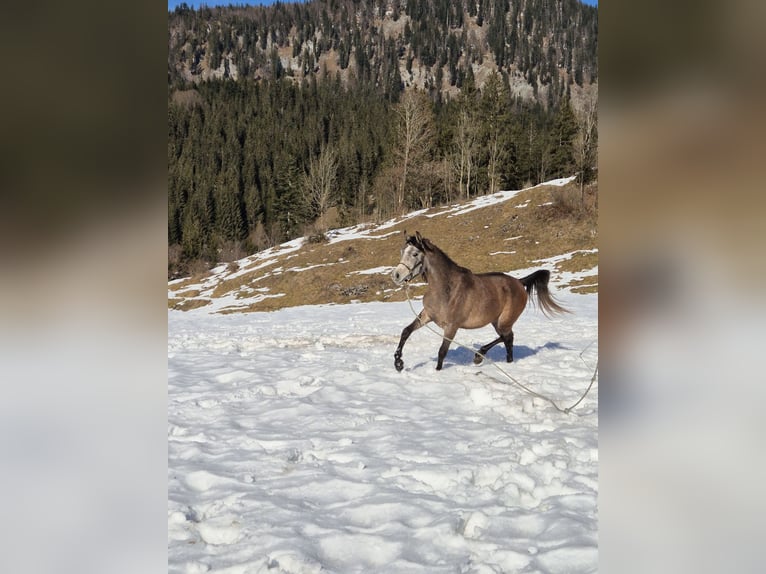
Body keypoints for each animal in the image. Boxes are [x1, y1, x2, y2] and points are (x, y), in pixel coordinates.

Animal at [392, 234, 568, 374]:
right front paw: (398, 363)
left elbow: (442, 351)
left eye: (415, 254)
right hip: (496, 321)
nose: (396, 275)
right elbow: (406, 331)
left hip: (504, 321)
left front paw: (437, 371)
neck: (446, 288)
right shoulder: (427, 315)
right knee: (507, 339)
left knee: (507, 337)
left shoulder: (452, 327)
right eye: (402, 252)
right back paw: (501, 360)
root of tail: (519, 282)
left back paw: (480, 356)